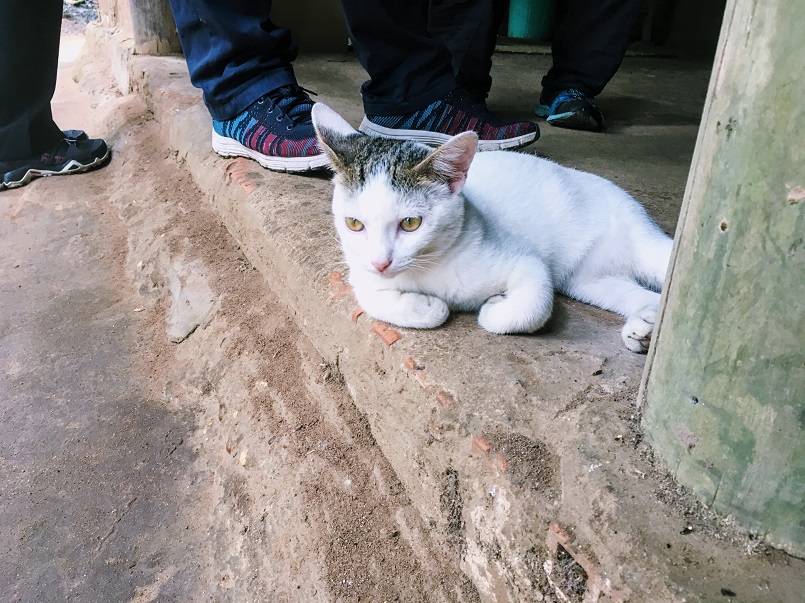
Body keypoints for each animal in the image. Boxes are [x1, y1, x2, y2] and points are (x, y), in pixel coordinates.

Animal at [310, 101, 672, 352]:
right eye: (354, 223)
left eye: (410, 223)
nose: (381, 262)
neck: (429, 267)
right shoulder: (362, 275)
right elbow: (374, 299)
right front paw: (428, 306)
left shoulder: (526, 260)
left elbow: (532, 305)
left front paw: (494, 308)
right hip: (591, 282)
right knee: (639, 294)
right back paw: (645, 327)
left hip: (638, 239)